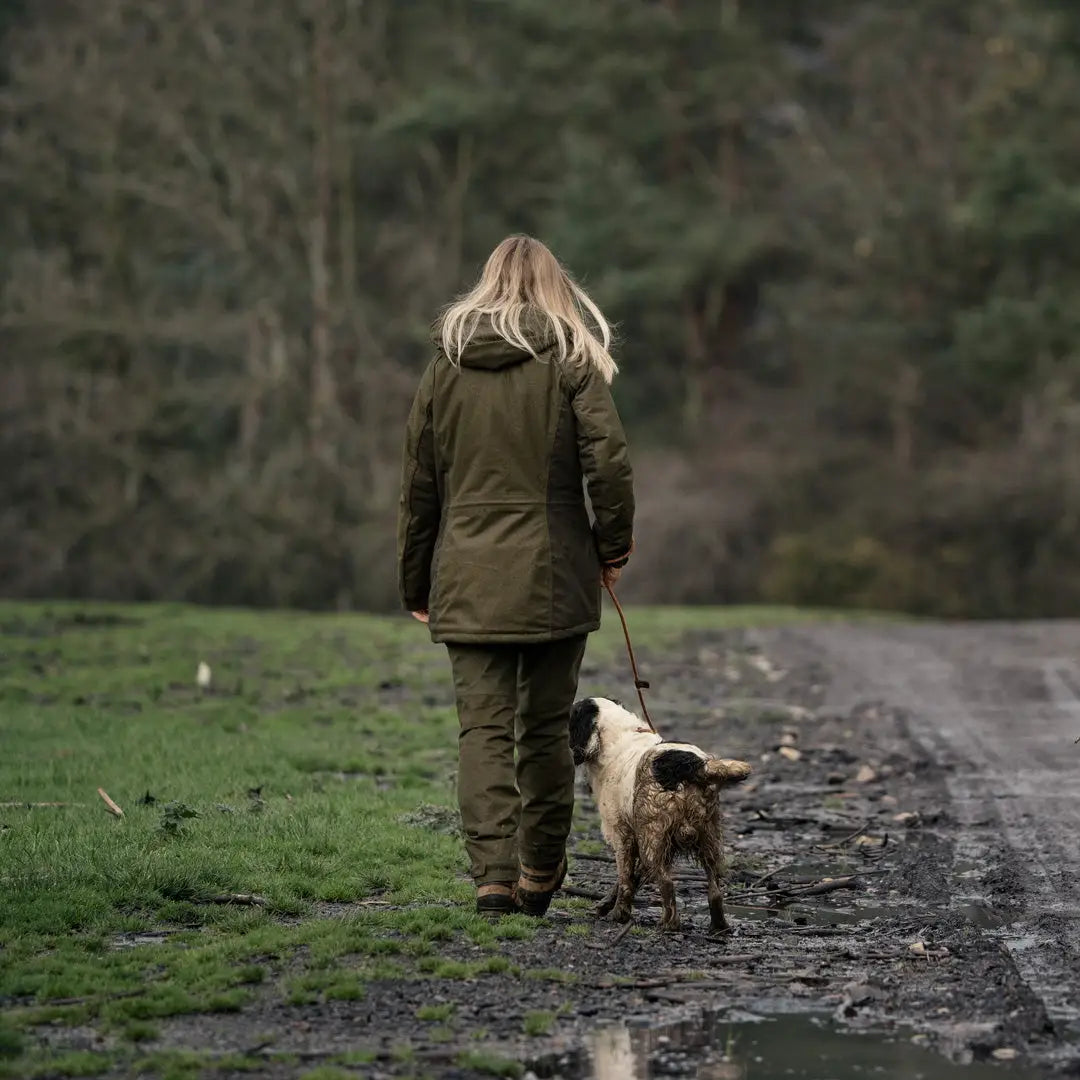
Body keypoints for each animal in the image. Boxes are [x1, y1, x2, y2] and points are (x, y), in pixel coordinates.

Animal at [565, 695, 751, 933]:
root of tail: (692, 765)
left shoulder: (623, 834)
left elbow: (625, 879)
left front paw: (619, 914)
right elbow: (631, 879)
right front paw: (606, 905)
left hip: (652, 838)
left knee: (667, 883)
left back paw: (668, 923)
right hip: (708, 838)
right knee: (715, 888)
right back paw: (719, 925)